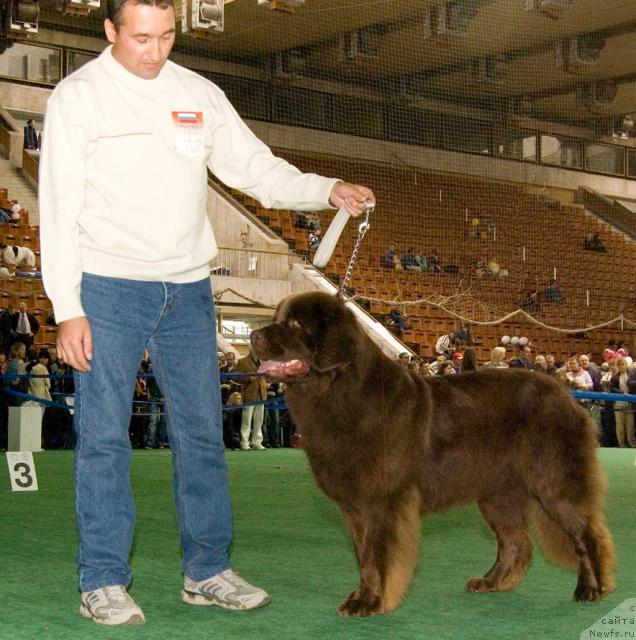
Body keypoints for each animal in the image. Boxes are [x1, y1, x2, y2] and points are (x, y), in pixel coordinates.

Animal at [250, 292, 616, 616]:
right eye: (276, 318)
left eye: (295, 324)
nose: (253, 335)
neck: (340, 393)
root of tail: (565, 394)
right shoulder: (354, 507)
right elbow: (363, 556)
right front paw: (363, 597)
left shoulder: (383, 500)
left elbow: (377, 555)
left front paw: (368, 603)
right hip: (498, 492)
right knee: (516, 542)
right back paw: (491, 583)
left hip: (554, 483)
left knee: (587, 534)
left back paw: (591, 588)